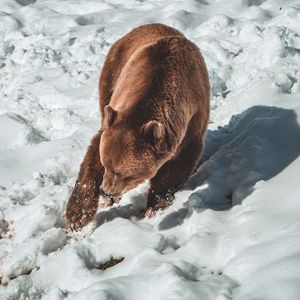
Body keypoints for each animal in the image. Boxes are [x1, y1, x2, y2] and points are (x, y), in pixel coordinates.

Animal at [65, 23, 211, 230]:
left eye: (124, 173)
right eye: (106, 164)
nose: (106, 191)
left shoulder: (192, 122)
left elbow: (176, 166)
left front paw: (155, 206)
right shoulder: (116, 113)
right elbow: (92, 154)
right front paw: (77, 215)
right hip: (111, 73)